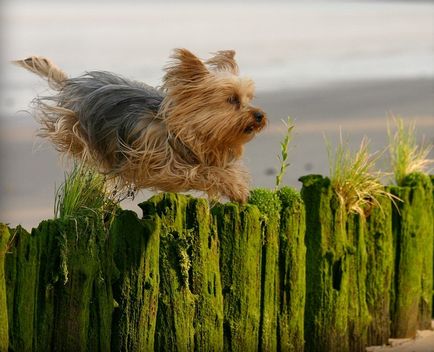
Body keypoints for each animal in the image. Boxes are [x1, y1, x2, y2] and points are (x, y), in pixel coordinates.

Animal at [13, 49, 266, 204]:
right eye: (232, 99)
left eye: (248, 98)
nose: (260, 115)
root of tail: (71, 83)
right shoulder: (162, 167)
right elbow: (203, 171)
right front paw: (236, 188)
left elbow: (224, 168)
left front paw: (238, 184)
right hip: (74, 128)